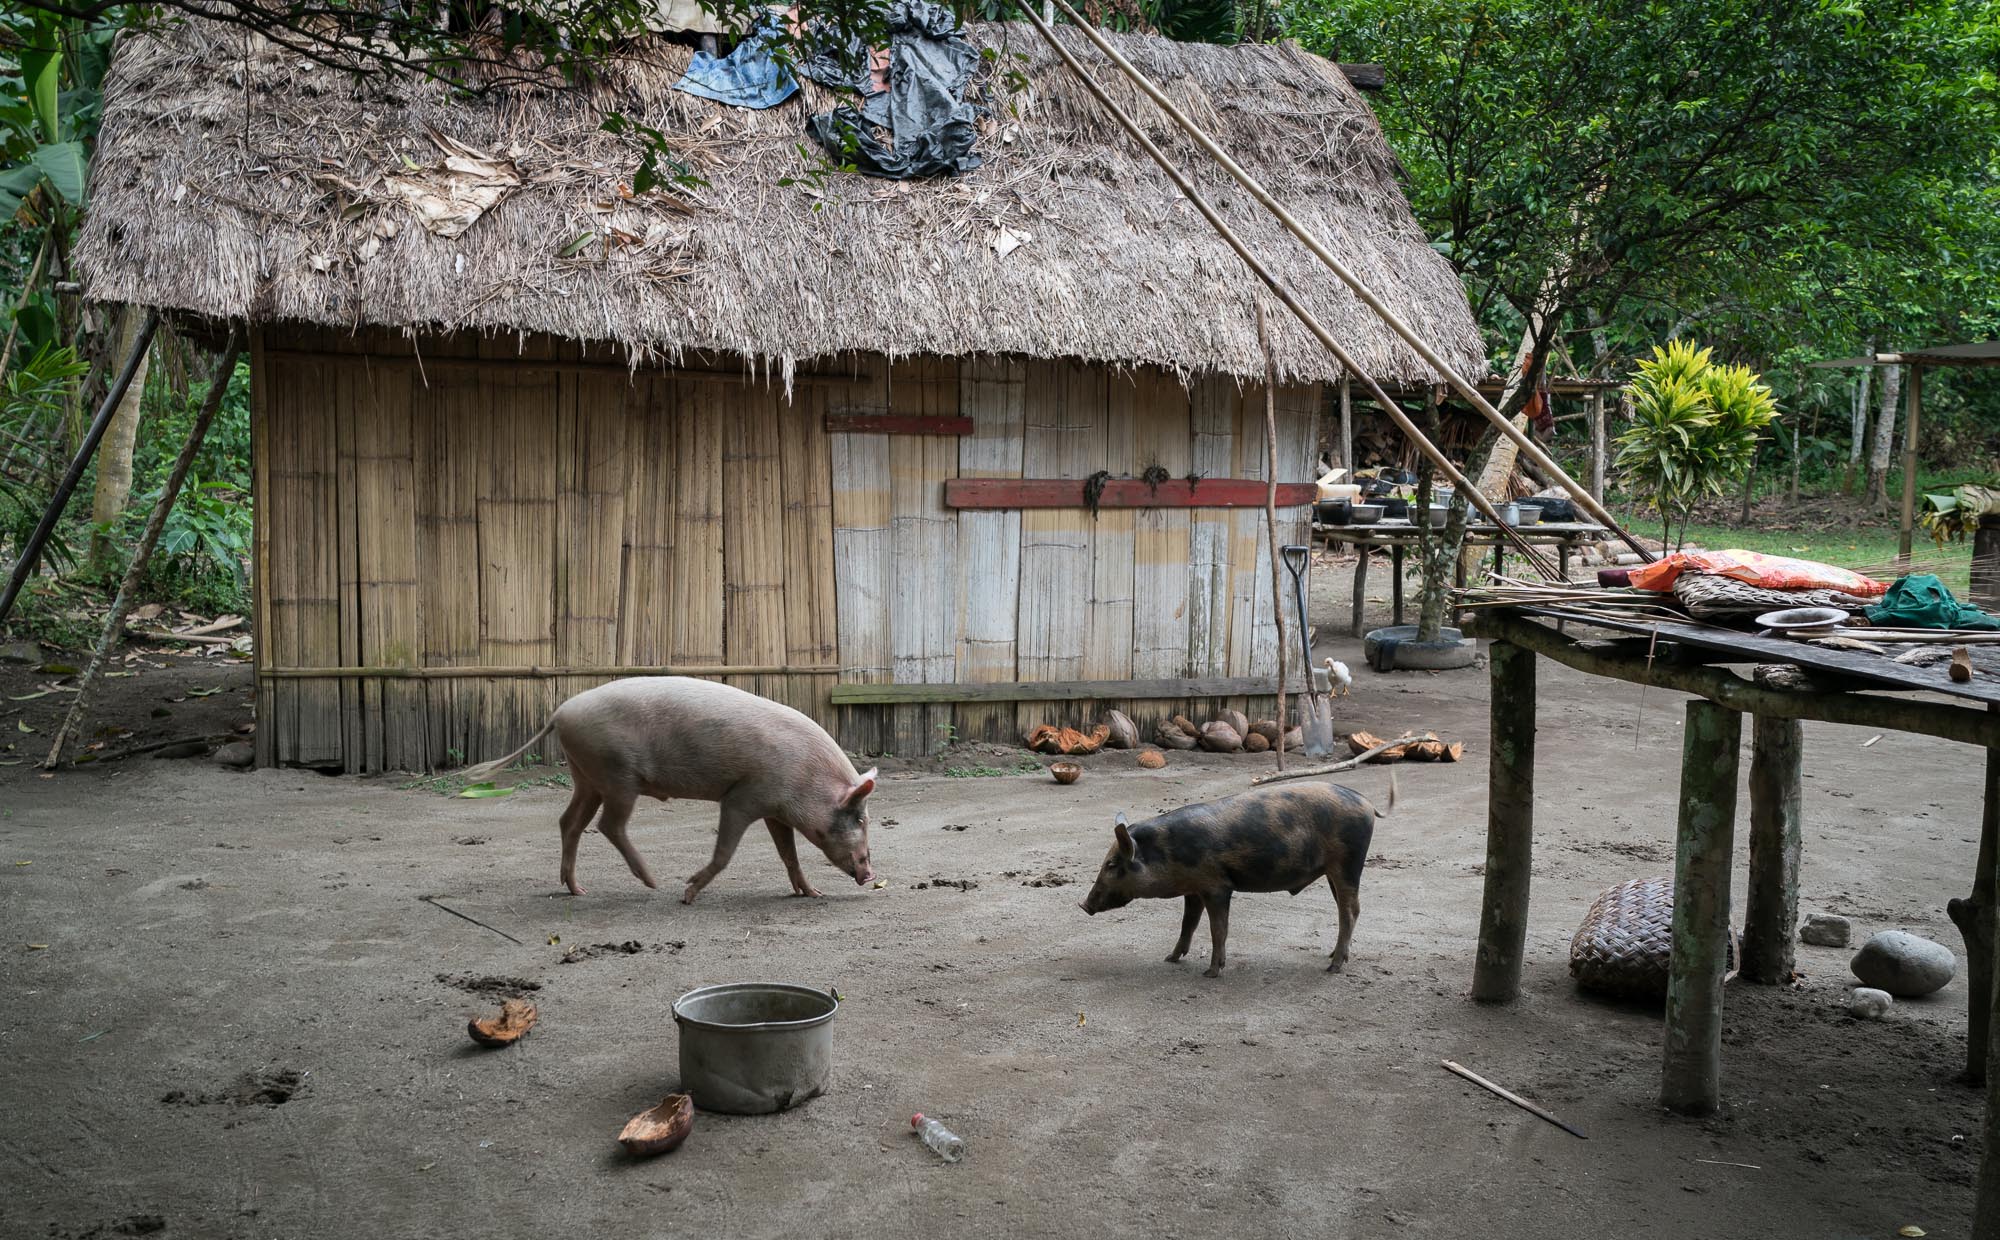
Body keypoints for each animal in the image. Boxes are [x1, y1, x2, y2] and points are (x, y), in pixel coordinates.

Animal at [468, 680, 884, 900]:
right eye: (860, 818)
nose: (869, 876)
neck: (807, 779)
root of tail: (559, 712)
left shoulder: (774, 809)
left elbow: (788, 854)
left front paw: (812, 894)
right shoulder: (744, 797)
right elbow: (725, 852)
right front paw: (687, 894)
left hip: (585, 774)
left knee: (569, 822)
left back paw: (578, 890)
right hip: (616, 774)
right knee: (607, 825)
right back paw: (653, 884)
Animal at [1080, 784, 1392, 980]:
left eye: (1111, 864)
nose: (1083, 904)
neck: (1166, 852)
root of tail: (1367, 803)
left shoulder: (1216, 887)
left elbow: (1218, 928)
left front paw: (1211, 973)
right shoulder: (1194, 889)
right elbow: (1188, 923)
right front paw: (1170, 958)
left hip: (1349, 863)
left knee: (1349, 911)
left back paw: (1333, 968)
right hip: (1334, 871)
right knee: (1348, 909)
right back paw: (1332, 956)